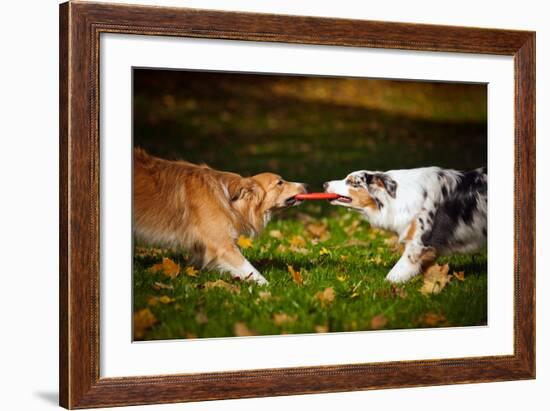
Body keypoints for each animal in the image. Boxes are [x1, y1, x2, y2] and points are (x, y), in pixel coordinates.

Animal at [132, 148, 308, 286]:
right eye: (280, 183)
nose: (306, 185)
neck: (230, 199)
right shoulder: (222, 245)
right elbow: (249, 268)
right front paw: (269, 288)